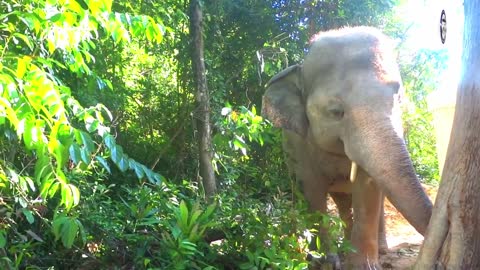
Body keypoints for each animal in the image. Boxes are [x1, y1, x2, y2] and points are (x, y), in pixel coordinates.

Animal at [260, 26, 434, 268]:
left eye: (398, 98)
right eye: (336, 112)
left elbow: (367, 191)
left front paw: (363, 265)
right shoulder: (296, 143)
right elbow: (312, 192)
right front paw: (324, 261)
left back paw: (380, 249)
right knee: (341, 202)